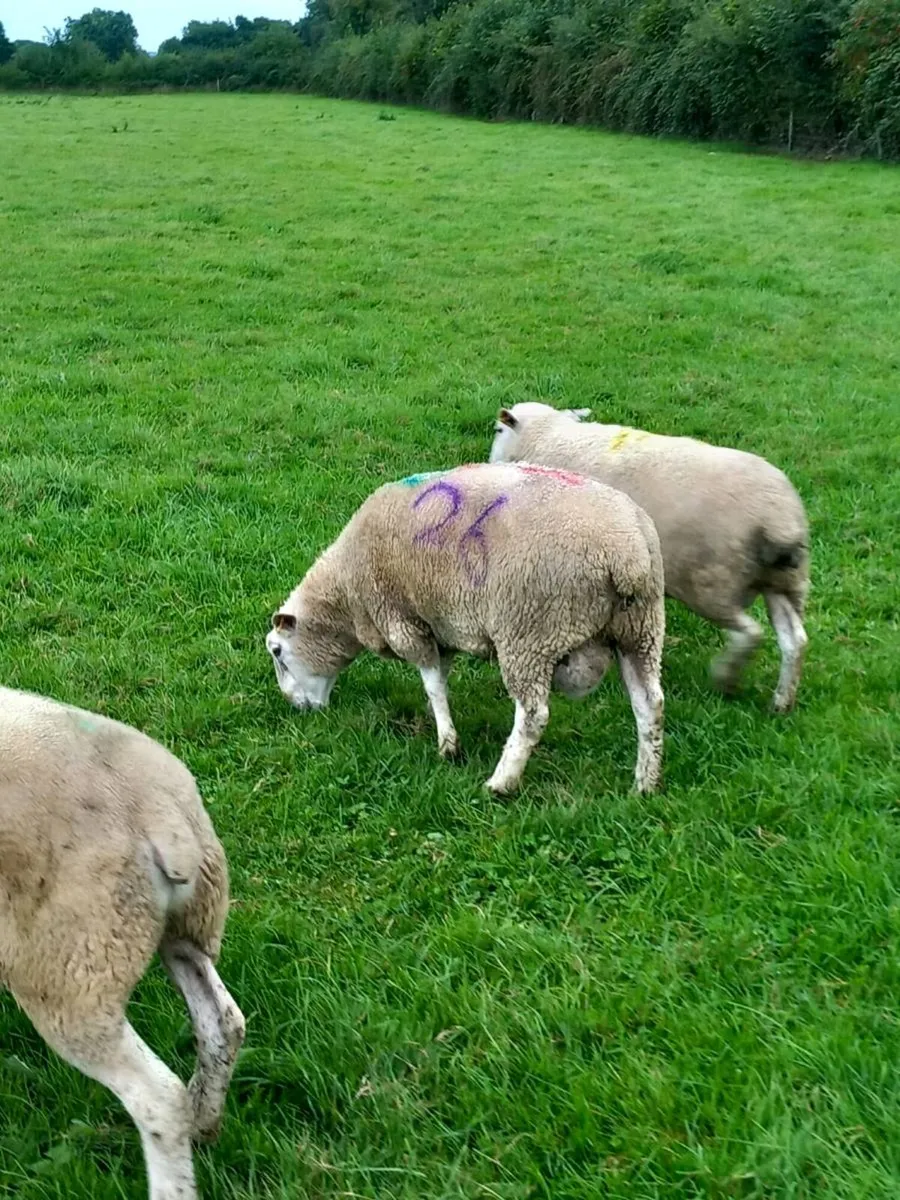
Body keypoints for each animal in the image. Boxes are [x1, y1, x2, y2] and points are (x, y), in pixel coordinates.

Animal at [0, 686, 246, 1200]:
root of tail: (160, 814)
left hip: (69, 968)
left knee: (157, 1097)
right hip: (180, 929)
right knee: (223, 1022)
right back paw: (204, 1122)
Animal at [266, 462, 666, 795]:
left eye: (277, 651)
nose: (294, 707)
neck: (347, 596)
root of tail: (626, 555)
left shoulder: (407, 624)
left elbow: (432, 685)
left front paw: (448, 745)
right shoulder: (438, 626)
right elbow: (439, 684)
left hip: (529, 632)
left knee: (533, 715)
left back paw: (501, 783)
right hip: (640, 630)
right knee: (649, 704)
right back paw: (645, 784)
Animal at [489, 403, 810, 712]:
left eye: (497, 430)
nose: (491, 463)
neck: (550, 436)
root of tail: (779, 520)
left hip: (712, 582)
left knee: (750, 633)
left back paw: (726, 678)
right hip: (785, 581)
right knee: (794, 639)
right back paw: (781, 702)